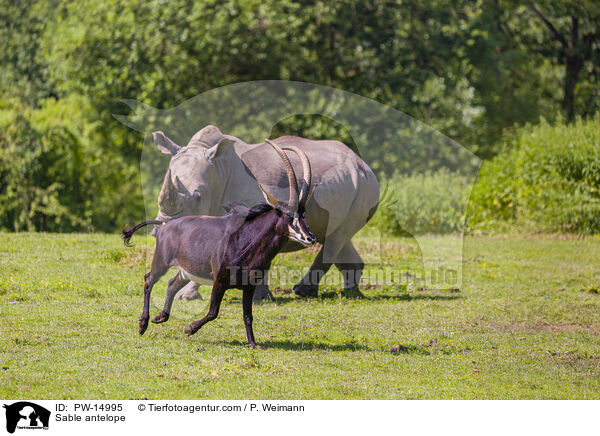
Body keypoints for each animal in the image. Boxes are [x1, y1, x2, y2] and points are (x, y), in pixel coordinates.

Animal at [123, 140, 316, 348]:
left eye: (303, 214)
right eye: (288, 214)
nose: (310, 237)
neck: (247, 239)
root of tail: (165, 226)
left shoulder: (249, 286)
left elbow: (248, 316)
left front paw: (253, 344)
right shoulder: (220, 281)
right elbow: (213, 312)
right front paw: (190, 328)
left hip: (187, 270)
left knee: (172, 284)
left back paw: (161, 317)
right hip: (161, 263)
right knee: (148, 280)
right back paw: (143, 324)